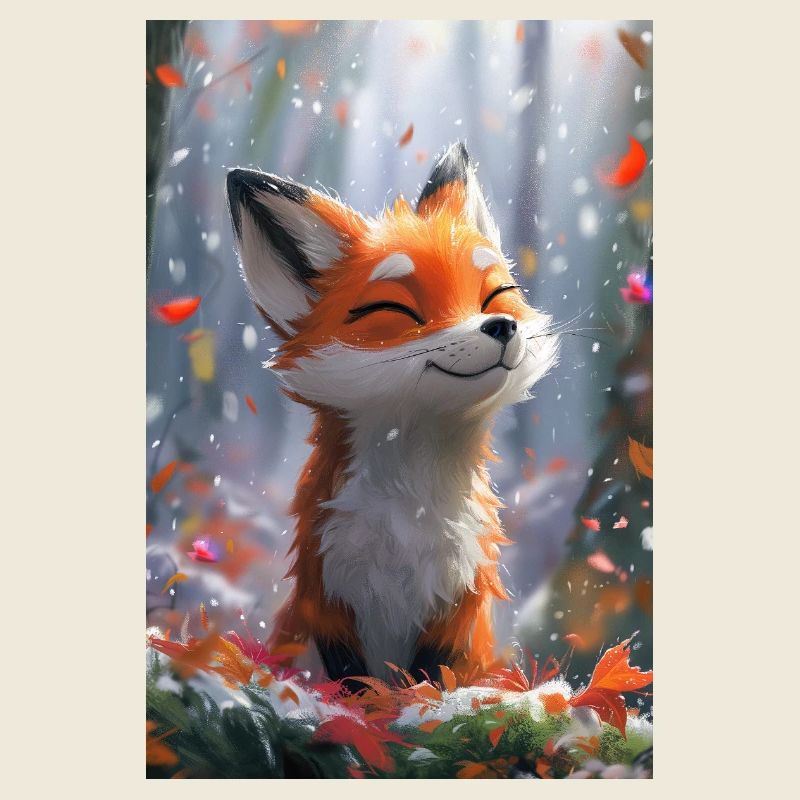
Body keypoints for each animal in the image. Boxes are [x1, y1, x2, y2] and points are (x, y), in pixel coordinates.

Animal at [225, 142, 559, 685]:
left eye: (495, 296)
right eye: (397, 311)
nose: (501, 326)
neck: (410, 510)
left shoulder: (459, 600)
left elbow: (430, 678)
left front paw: (417, 704)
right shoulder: (326, 593)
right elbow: (351, 682)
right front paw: (361, 707)